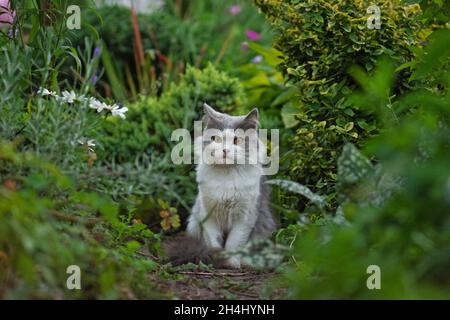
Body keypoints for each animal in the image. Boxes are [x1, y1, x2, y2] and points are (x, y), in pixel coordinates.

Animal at [164, 104, 274, 268]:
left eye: (237, 140)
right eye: (215, 139)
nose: (225, 150)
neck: (226, 176)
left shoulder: (244, 217)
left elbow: (234, 243)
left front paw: (231, 262)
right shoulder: (208, 214)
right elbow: (213, 241)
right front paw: (216, 259)